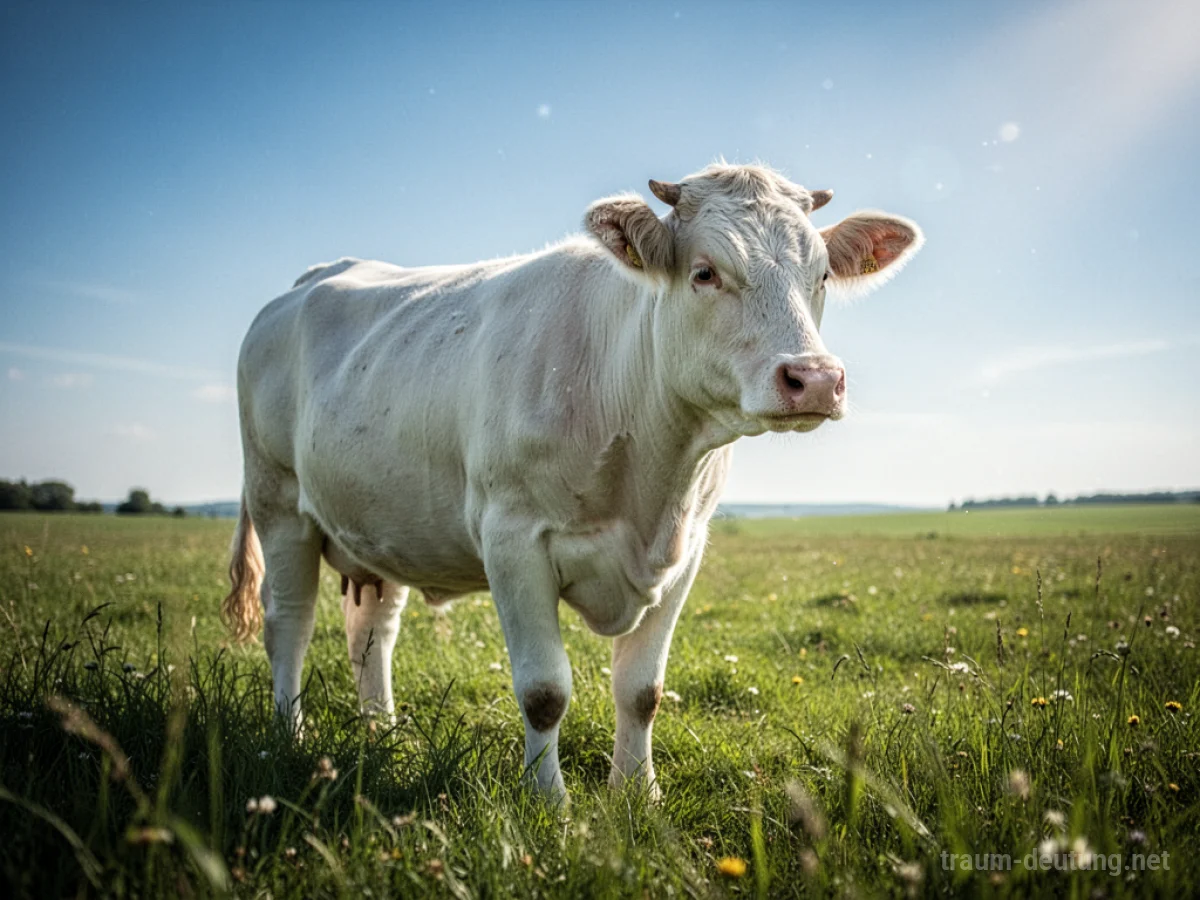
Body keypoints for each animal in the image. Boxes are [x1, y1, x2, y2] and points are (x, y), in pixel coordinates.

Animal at [223, 163, 923, 802]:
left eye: (822, 275)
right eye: (705, 272)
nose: (815, 379)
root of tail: (312, 279)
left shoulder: (687, 550)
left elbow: (642, 691)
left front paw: (638, 796)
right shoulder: (512, 539)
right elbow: (544, 692)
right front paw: (549, 804)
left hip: (380, 525)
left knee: (371, 632)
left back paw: (384, 735)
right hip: (279, 503)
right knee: (290, 624)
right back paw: (290, 738)